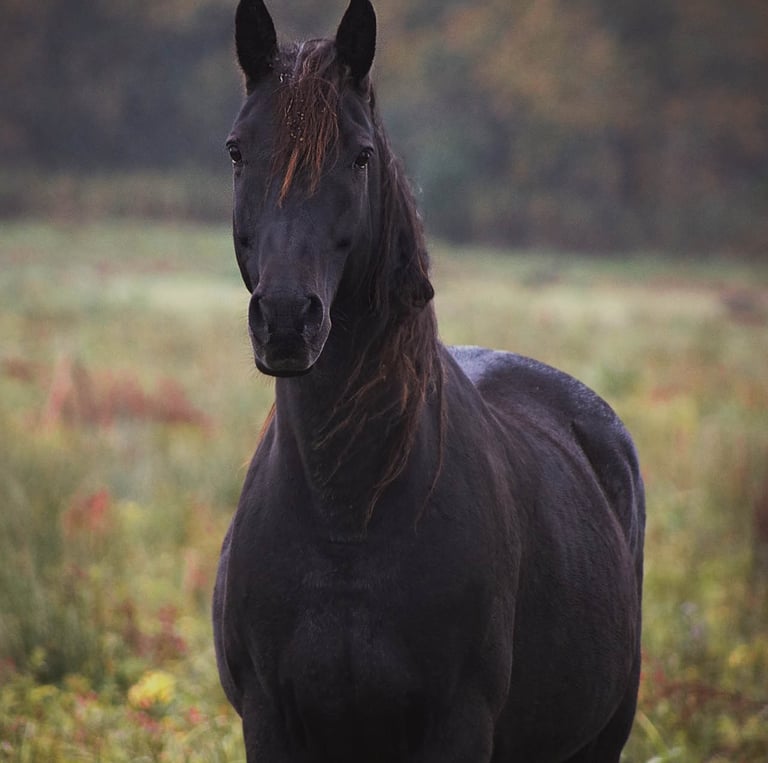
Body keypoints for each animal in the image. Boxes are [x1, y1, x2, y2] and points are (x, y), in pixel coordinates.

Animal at [213, 1, 645, 761]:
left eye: (360, 155)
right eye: (238, 150)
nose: (288, 319)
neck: (347, 515)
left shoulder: (458, 721)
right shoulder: (269, 721)